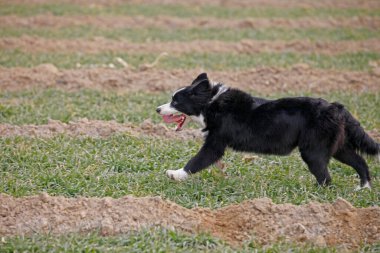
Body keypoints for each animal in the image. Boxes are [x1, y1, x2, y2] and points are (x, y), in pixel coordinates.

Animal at [156, 72, 378, 188]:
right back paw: (363, 188)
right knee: (359, 161)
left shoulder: (215, 144)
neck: (211, 102)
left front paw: (176, 174)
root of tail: (336, 107)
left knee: (326, 177)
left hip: (313, 151)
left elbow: (196, 160)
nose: (157, 109)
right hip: (337, 147)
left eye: (176, 101)